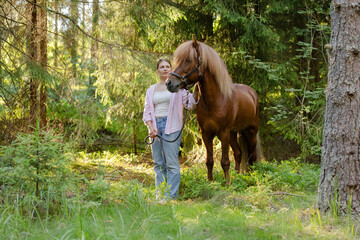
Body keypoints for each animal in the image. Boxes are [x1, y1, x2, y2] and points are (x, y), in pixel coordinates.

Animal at [166, 38, 262, 184]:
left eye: (188, 60)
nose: (169, 83)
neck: (215, 101)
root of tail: (252, 93)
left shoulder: (223, 133)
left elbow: (225, 161)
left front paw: (227, 184)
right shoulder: (206, 133)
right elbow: (209, 160)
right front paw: (210, 182)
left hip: (250, 131)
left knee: (252, 156)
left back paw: (250, 178)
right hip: (233, 133)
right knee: (238, 153)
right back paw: (237, 176)